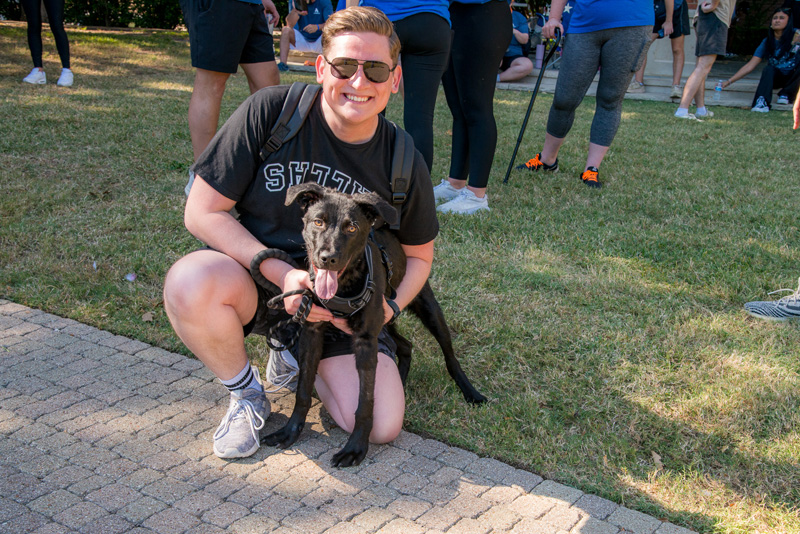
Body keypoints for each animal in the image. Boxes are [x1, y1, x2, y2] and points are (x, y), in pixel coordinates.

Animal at [262, 183, 486, 467]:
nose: (327, 258)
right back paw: (402, 377)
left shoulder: (366, 341)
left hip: (427, 309)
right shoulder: (312, 333)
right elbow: (303, 390)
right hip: (386, 320)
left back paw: (470, 391)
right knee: (406, 345)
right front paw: (290, 431)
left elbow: (365, 402)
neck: (343, 287)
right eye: (318, 221)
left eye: (351, 228)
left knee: (449, 355)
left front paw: (356, 447)